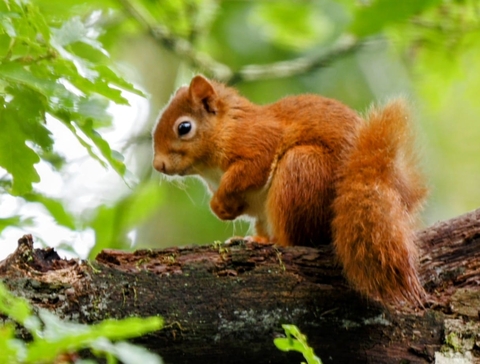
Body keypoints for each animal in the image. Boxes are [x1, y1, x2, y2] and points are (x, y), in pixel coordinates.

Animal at [152, 75, 426, 306]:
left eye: (184, 127)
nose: (158, 165)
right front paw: (224, 209)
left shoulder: (258, 142)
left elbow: (249, 170)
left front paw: (218, 204)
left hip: (301, 170)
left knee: (295, 240)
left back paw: (271, 242)